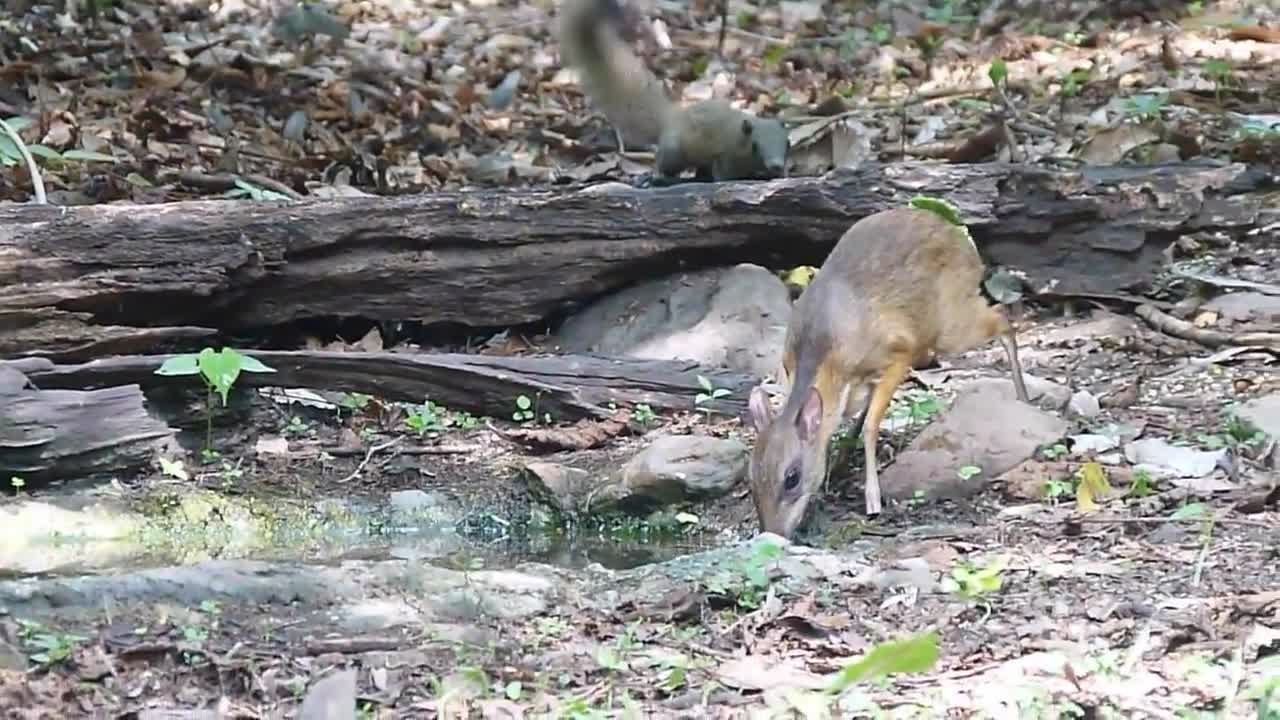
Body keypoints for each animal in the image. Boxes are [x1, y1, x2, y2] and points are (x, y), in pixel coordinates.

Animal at [560, 0, 788, 183]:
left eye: (786, 143)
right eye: (755, 146)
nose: (776, 165)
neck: (740, 138)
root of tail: (672, 119)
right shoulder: (726, 159)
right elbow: (725, 177)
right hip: (674, 152)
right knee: (665, 167)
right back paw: (655, 179)